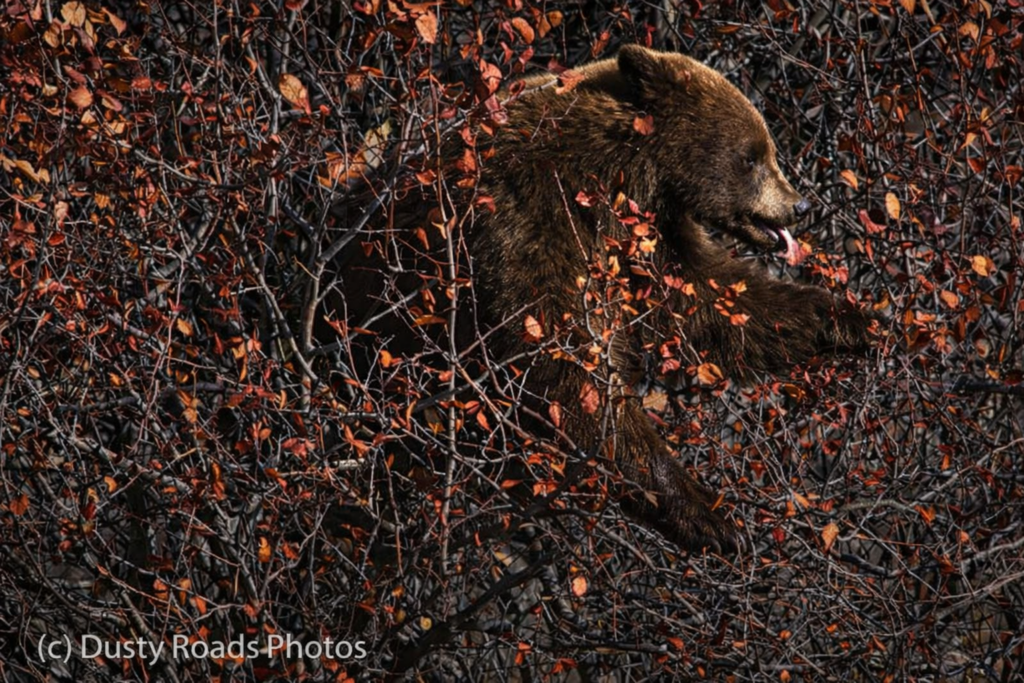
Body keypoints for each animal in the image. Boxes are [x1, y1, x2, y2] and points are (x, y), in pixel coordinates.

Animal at [329, 45, 874, 553]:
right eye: (751, 156)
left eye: (768, 149)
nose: (798, 205)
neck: (608, 176)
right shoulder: (525, 220)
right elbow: (565, 370)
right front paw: (709, 515)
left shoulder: (646, 238)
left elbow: (711, 300)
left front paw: (848, 318)